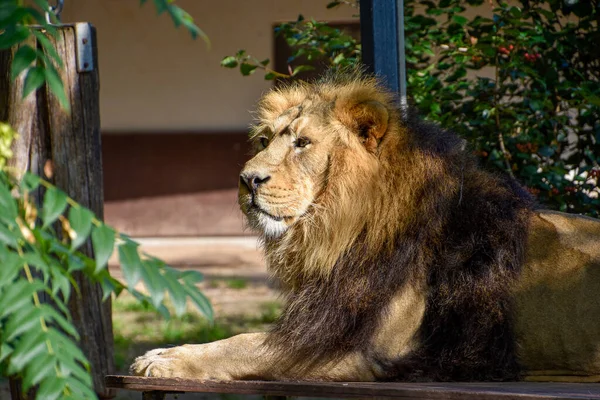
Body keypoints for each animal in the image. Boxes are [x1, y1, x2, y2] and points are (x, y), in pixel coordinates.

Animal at [131, 70, 600, 382]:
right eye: (264, 141)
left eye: (302, 143)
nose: (247, 180)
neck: (339, 231)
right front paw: (167, 351)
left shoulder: (369, 351)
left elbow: (244, 345)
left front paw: (169, 361)